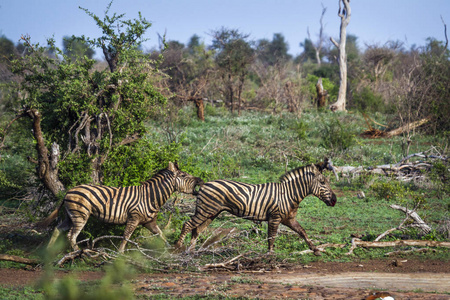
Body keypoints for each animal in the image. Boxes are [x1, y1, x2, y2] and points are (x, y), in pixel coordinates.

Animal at [39, 163, 205, 252]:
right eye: (183, 175)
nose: (201, 180)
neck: (150, 197)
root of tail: (69, 191)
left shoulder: (149, 222)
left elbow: (161, 235)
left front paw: (171, 249)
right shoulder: (134, 217)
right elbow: (126, 236)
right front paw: (120, 254)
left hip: (70, 215)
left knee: (58, 229)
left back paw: (49, 251)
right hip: (80, 215)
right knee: (71, 235)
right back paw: (79, 254)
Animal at [176, 158, 338, 254]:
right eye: (323, 182)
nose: (335, 200)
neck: (288, 194)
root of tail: (205, 184)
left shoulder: (289, 219)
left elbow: (303, 232)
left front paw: (315, 249)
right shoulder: (275, 217)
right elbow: (271, 237)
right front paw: (270, 255)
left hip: (211, 213)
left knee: (197, 229)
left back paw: (192, 252)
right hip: (205, 210)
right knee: (188, 225)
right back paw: (178, 247)